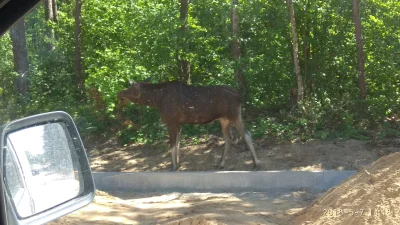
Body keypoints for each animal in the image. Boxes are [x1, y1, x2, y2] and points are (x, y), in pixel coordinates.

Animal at [117, 80, 260, 170]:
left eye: (130, 88)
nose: (119, 94)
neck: (156, 100)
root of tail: (239, 96)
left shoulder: (171, 121)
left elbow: (172, 145)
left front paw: (173, 166)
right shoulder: (179, 123)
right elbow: (178, 144)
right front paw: (178, 164)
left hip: (234, 115)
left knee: (247, 134)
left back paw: (256, 163)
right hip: (224, 119)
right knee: (228, 138)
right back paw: (221, 164)